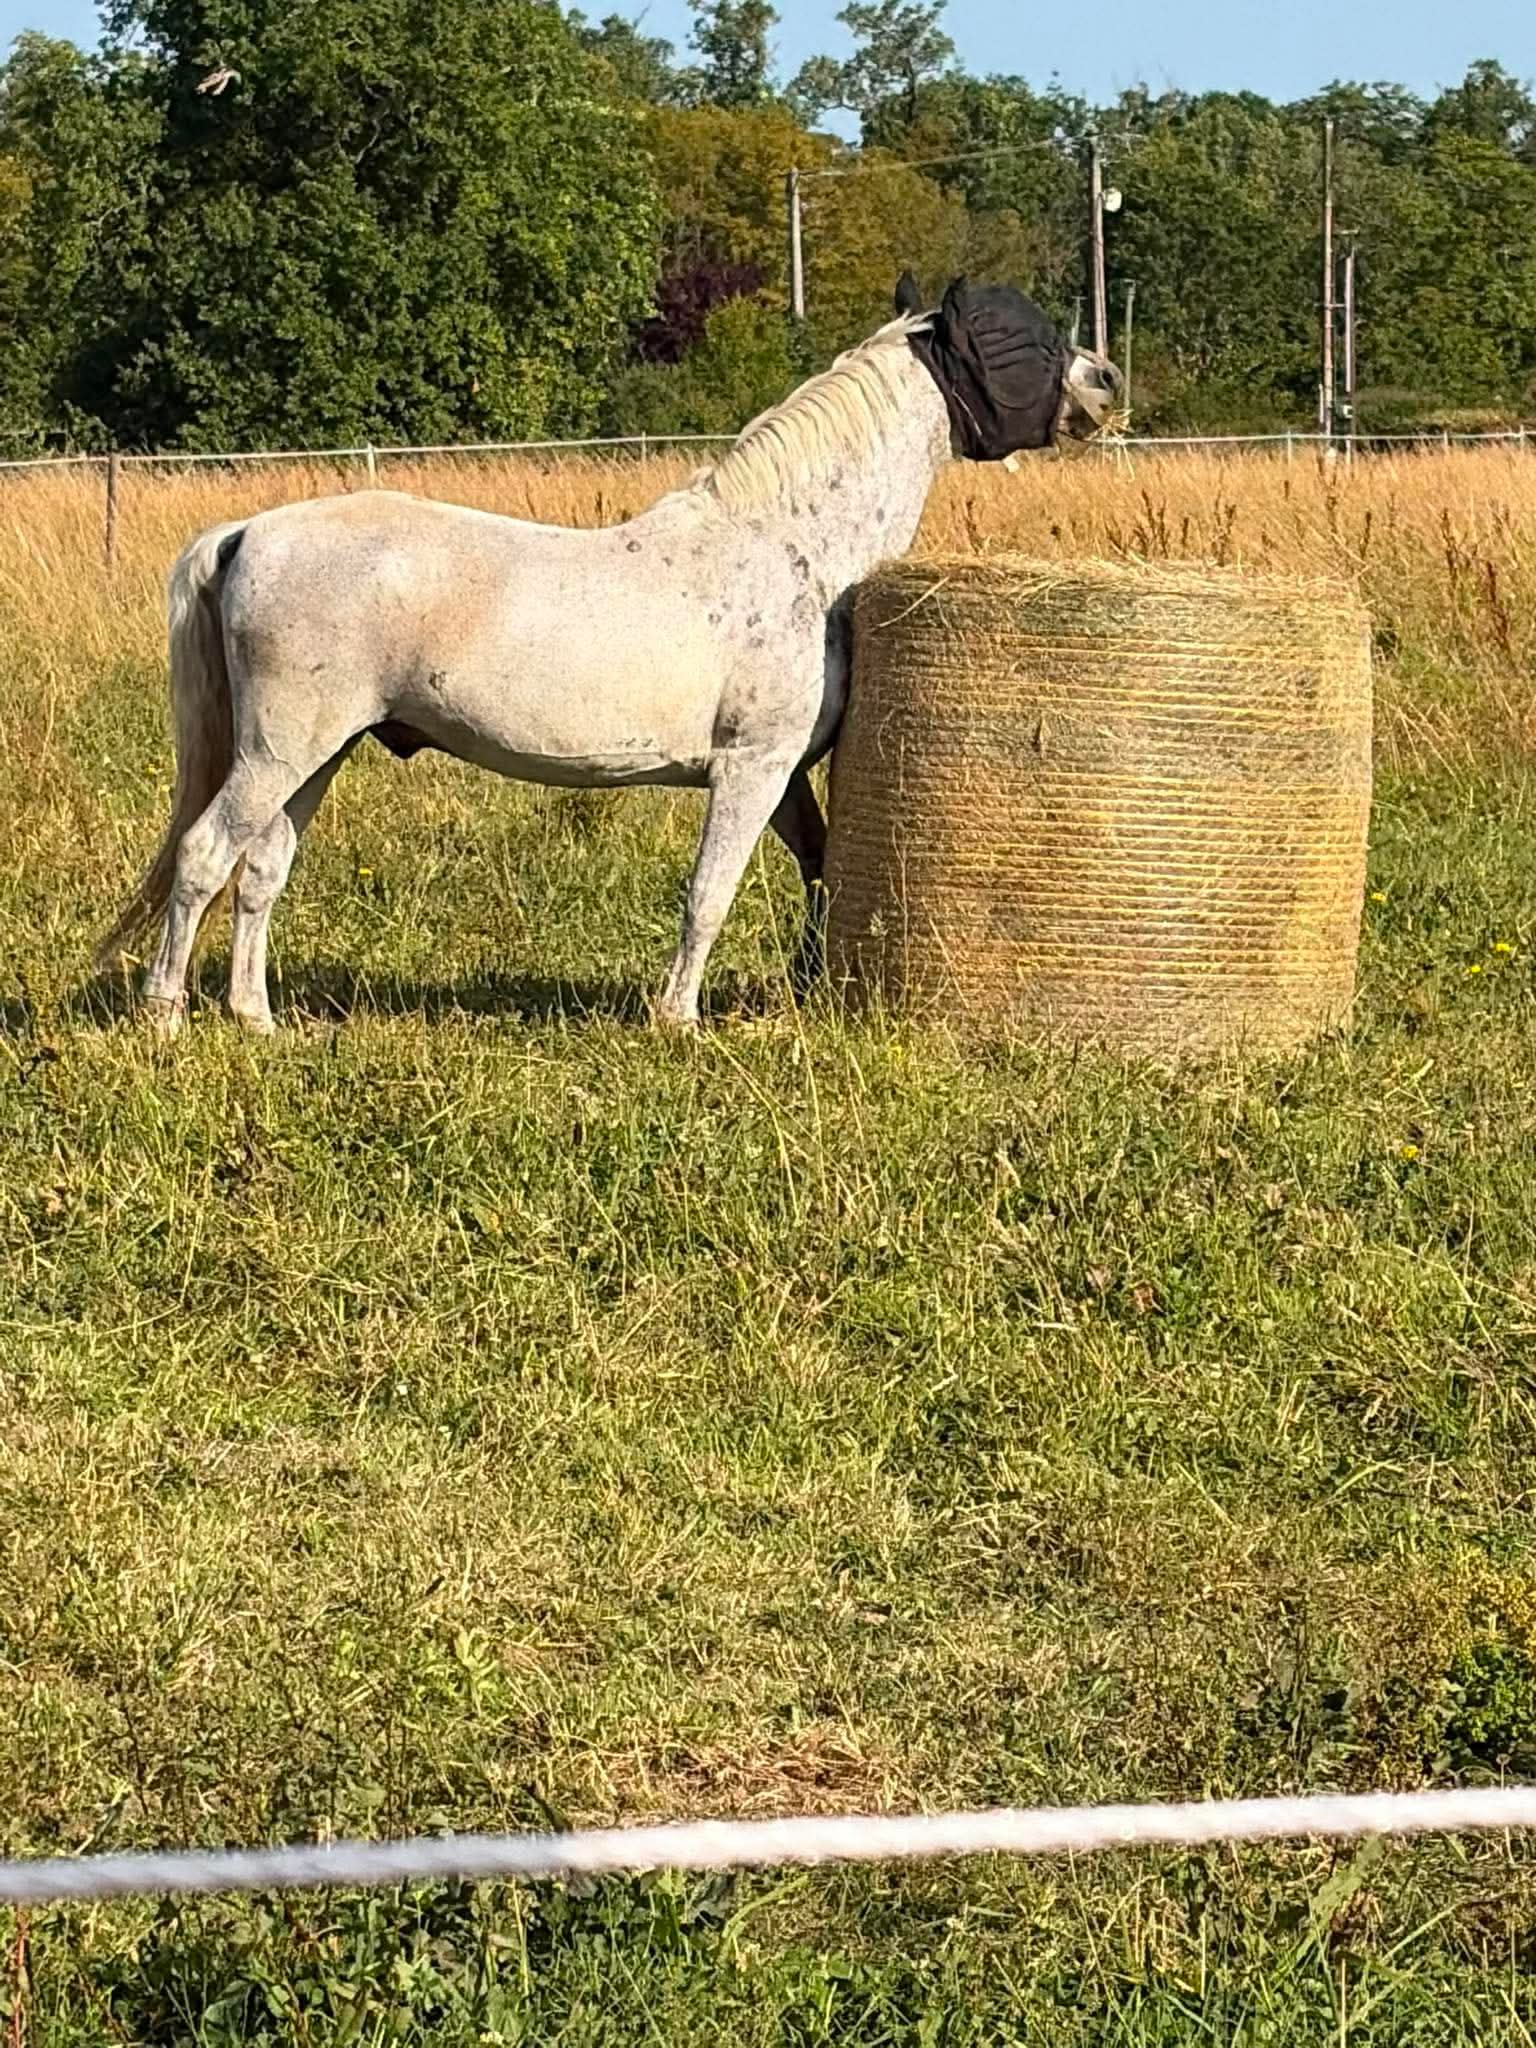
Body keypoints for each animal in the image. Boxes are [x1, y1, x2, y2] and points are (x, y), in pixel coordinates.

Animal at [98, 277, 1123, 1032]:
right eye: (1017, 337)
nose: (1107, 381)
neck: (790, 546)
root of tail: (247, 533)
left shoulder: (787, 772)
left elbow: (819, 870)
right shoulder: (751, 767)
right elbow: (710, 892)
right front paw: (678, 1021)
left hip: (316, 754)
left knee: (261, 869)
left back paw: (258, 1022)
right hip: (281, 750)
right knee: (205, 855)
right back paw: (165, 1019)